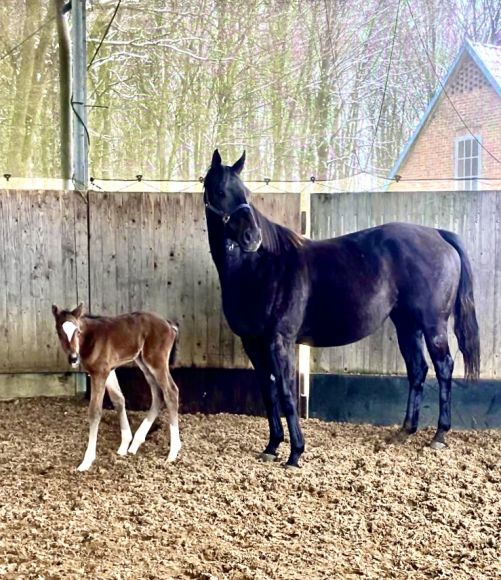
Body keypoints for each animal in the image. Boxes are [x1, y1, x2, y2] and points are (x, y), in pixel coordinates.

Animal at [51, 304, 181, 472]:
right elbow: (118, 399)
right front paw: (124, 444)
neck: (90, 339)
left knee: (171, 392)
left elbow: (95, 411)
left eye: (77, 331)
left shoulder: (100, 373)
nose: (73, 358)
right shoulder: (109, 370)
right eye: (60, 332)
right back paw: (136, 443)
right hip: (143, 361)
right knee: (158, 394)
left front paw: (87, 460)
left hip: (157, 361)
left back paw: (173, 451)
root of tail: (169, 325)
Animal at [204, 148, 480, 466]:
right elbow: (268, 391)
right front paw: (272, 446)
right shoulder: (252, 343)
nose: (253, 238)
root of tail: (437, 233)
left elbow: (286, 392)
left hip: (433, 324)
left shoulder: (279, 340)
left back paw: (439, 435)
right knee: (418, 370)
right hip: (407, 325)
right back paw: (404, 431)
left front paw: (295, 453)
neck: (262, 266)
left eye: (246, 192)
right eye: (221, 191)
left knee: (443, 367)